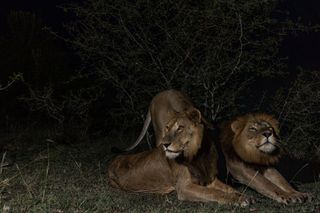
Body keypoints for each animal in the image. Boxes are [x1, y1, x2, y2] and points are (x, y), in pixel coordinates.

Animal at [109, 90, 251, 206]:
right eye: (167, 128)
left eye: (180, 128)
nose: (165, 144)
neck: (196, 155)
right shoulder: (185, 187)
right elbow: (213, 193)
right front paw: (240, 200)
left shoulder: (207, 178)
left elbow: (228, 188)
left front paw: (241, 195)